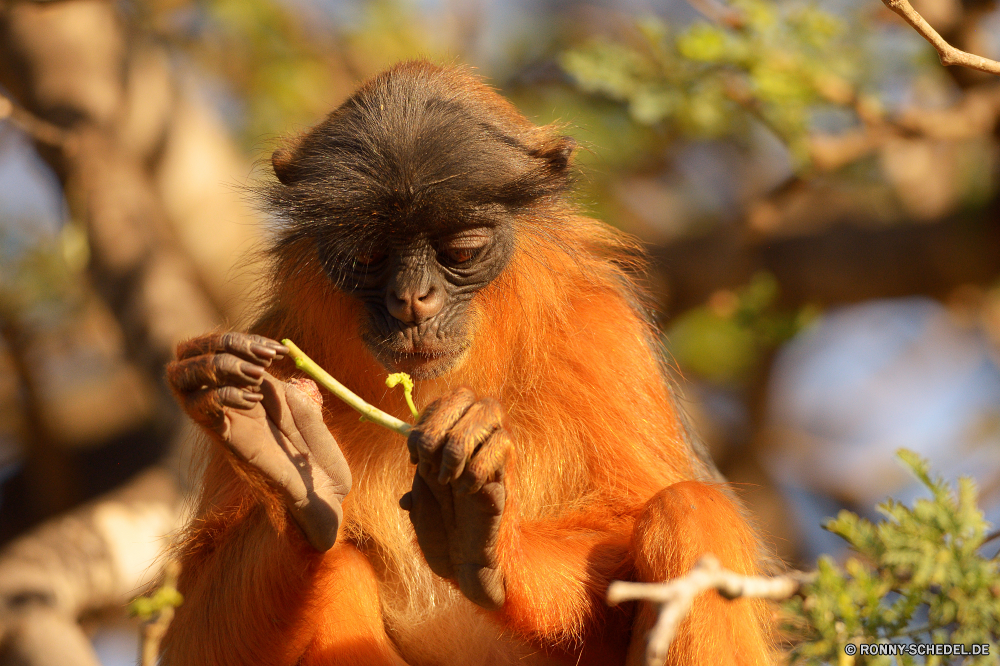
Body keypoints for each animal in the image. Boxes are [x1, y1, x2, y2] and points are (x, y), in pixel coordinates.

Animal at [162, 59, 772, 660]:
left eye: (461, 251)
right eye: (368, 256)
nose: (412, 300)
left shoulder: (603, 333)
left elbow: (624, 526)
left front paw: (486, 542)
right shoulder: (278, 337)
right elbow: (193, 627)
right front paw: (291, 464)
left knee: (691, 511)